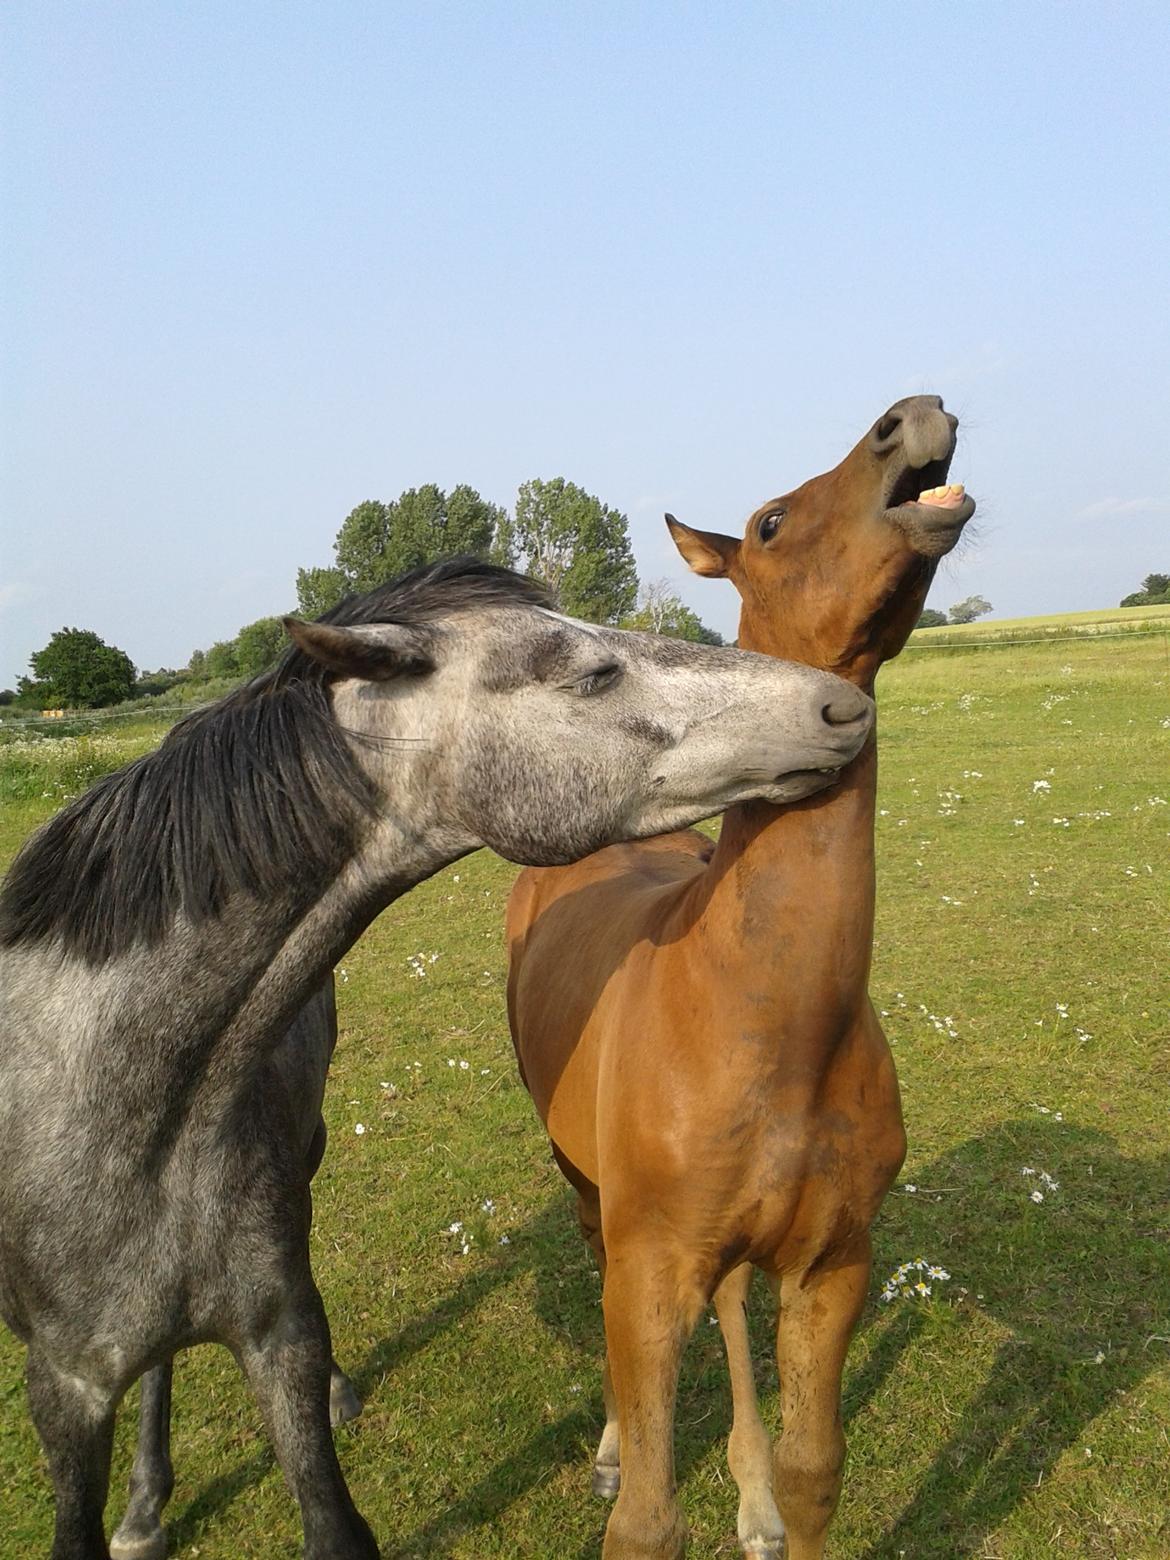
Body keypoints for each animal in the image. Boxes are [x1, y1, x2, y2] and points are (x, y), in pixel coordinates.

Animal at [0, 561, 873, 1560]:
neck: (116, 1103)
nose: (842, 706)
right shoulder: (64, 1392)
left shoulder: (277, 1336)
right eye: (591, 673)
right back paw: (144, 1506)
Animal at [508, 393, 973, 1560]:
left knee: (726, 1303)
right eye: (767, 523)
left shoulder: (833, 1263)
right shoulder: (649, 1270)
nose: (916, 416)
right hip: (585, 1184)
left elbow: (817, 1472)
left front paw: (772, 1495)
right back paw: (616, 1443)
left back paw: (748, 1491)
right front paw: (637, 1465)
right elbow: (645, 1522)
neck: (764, 1022)